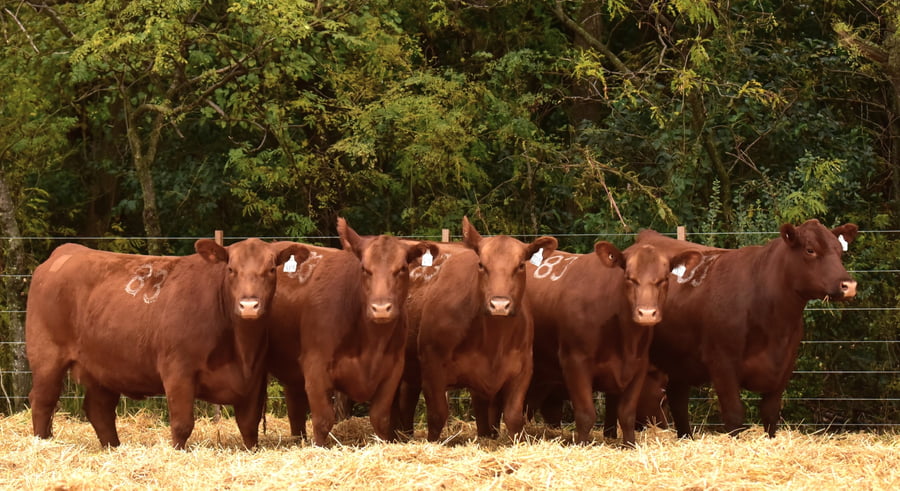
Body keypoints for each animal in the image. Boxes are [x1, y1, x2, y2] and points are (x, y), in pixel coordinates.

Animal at [25, 238, 309, 449]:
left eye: (271, 269)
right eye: (231, 270)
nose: (249, 305)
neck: (241, 349)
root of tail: (68, 250)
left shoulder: (255, 378)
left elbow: (249, 427)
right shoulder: (178, 371)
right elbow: (183, 424)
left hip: (103, 365)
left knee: (99, 409)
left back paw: (113, 448)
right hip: (46, 356)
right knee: (43, 400)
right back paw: (42, 443)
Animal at [266, 218, 438, 445]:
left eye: (402, 268)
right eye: (365, 268)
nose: (380, 308)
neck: (370, 342)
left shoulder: (392, 370)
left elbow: (381, 419)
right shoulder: (315, 367)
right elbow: (323, 420)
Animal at [392, 217, 558, 442]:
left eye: (521, 265)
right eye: (481, 265)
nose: (499, 304)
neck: (493, 343)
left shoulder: (521, 369)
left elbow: (512, 417)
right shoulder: (432, 366)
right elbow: (437, 415)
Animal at [523, 240, 701, 445]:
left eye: (664, 279)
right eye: (629, 278)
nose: (647, 313)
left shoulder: (639, 366)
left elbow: (627, 414)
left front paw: (630, 445)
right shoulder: (574, 360)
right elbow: (586, 414)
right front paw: (582, 445)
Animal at [637, 219, 858, 438]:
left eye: (840, 251)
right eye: (810, 250)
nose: (848, 285)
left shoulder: (785, 365)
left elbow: (770, 414)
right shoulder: (722, 364)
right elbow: (734, 416)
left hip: (679, 363)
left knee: (677, 401)